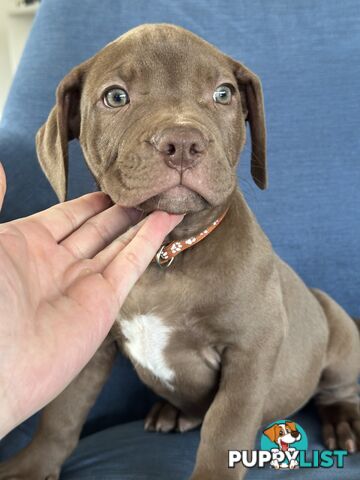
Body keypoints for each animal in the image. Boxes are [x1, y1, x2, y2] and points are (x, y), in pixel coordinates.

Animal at [0, 24, 360, 480]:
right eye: (115, 97)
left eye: (224, 94)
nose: (184, 142)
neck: (167, 253)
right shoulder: (93, 348)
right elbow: (62, 413)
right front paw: (33, 466)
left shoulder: (251, 348)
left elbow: (225, 427)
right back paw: (174, 412)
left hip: (336, 329)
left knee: (337, 388)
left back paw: (344, 421)